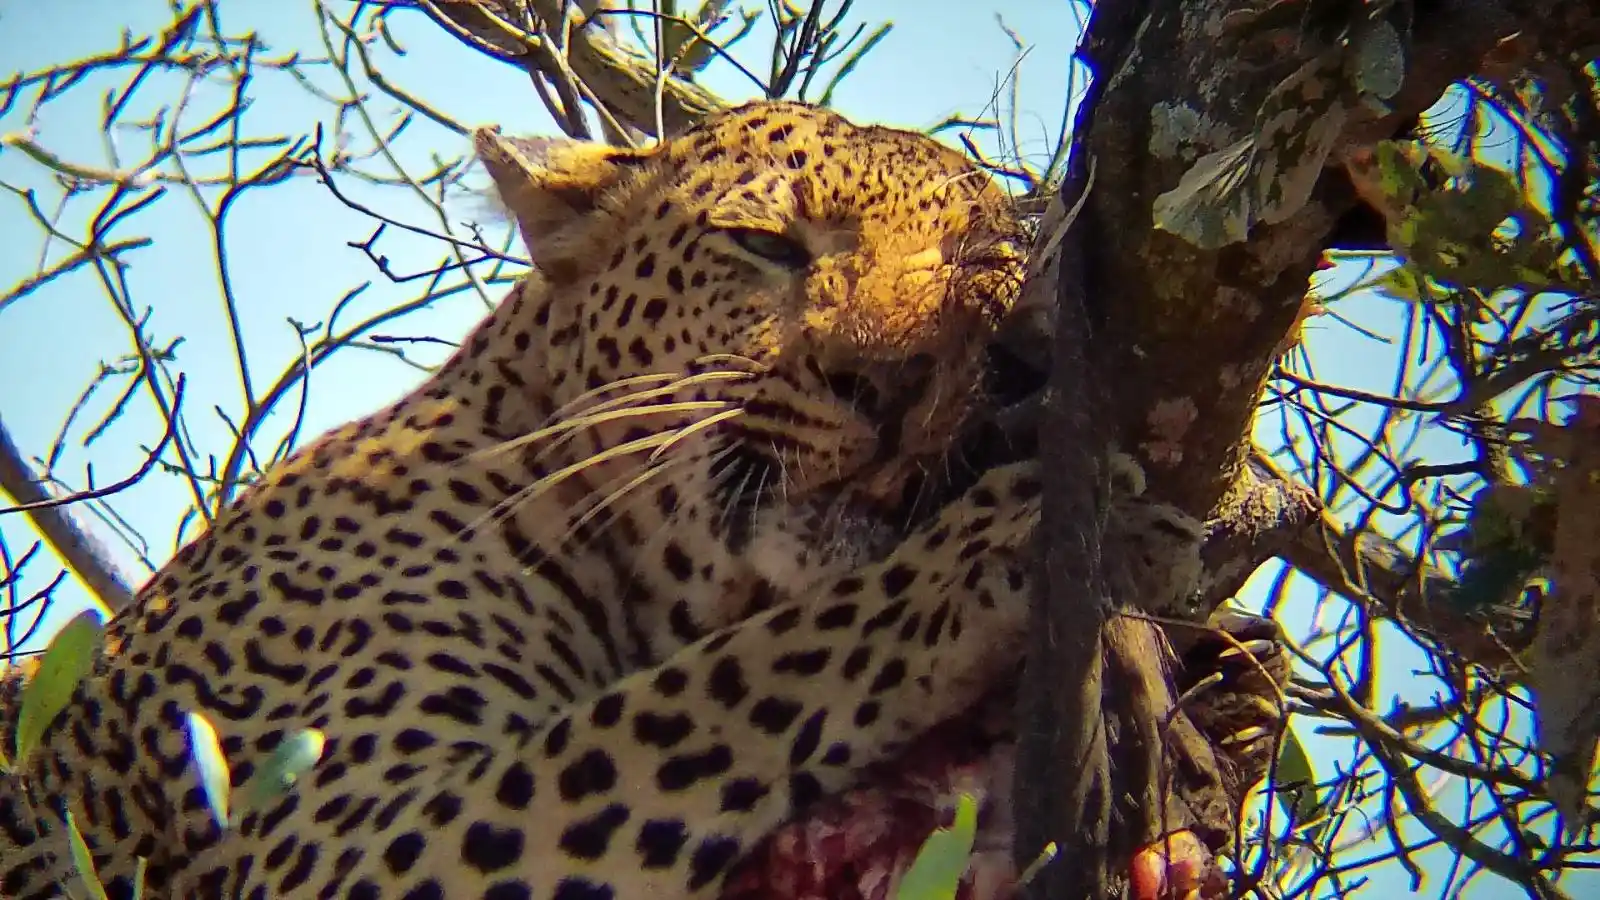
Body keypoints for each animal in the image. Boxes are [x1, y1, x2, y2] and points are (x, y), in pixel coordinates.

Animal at [0, 100, 1225, 900]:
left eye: (982, 269)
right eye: (765, 246)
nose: (891, 379)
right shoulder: (356, 836)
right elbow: (740, 674)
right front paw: (1038, 539)